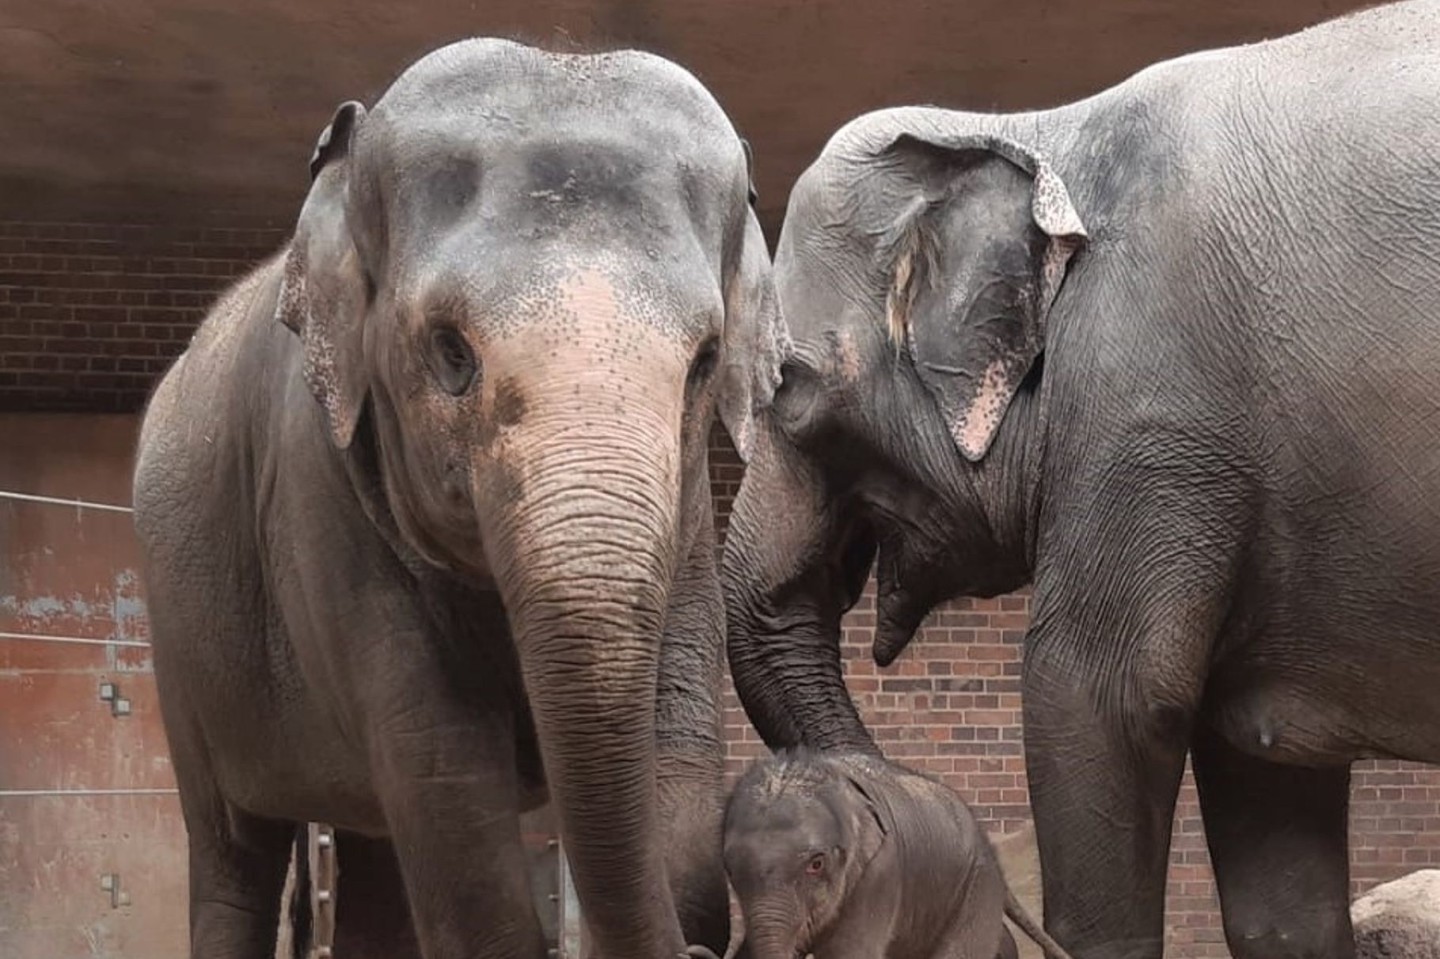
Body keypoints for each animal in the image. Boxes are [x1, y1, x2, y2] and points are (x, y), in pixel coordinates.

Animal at [132, 37, 789, 956]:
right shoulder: (318, 494)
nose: (701, 949)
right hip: (182, 645)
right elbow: (446, 772)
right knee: (235, 851)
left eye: (705, 362)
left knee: (372, 854)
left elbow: (678, 735)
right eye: (450, 351)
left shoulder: (691, 515)